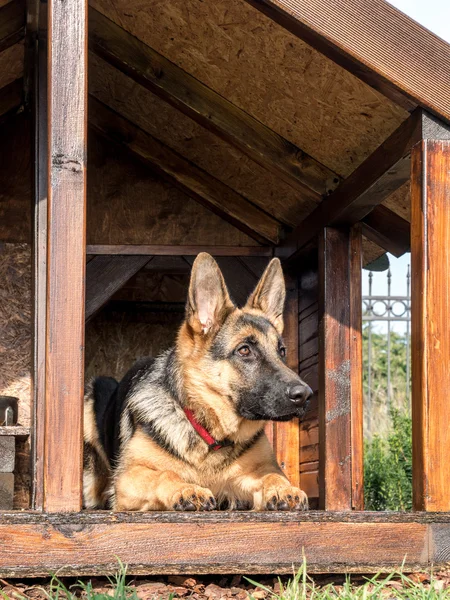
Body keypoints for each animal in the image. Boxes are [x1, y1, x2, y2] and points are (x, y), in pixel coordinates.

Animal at [84, 253, 312, 510]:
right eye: (244, 350)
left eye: (281, 351)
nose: (305, 395)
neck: (210, 434)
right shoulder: (128, 478)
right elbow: (165, 473)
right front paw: (187, 489)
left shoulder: (254, 473)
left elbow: (273, 475)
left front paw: (284, 488)